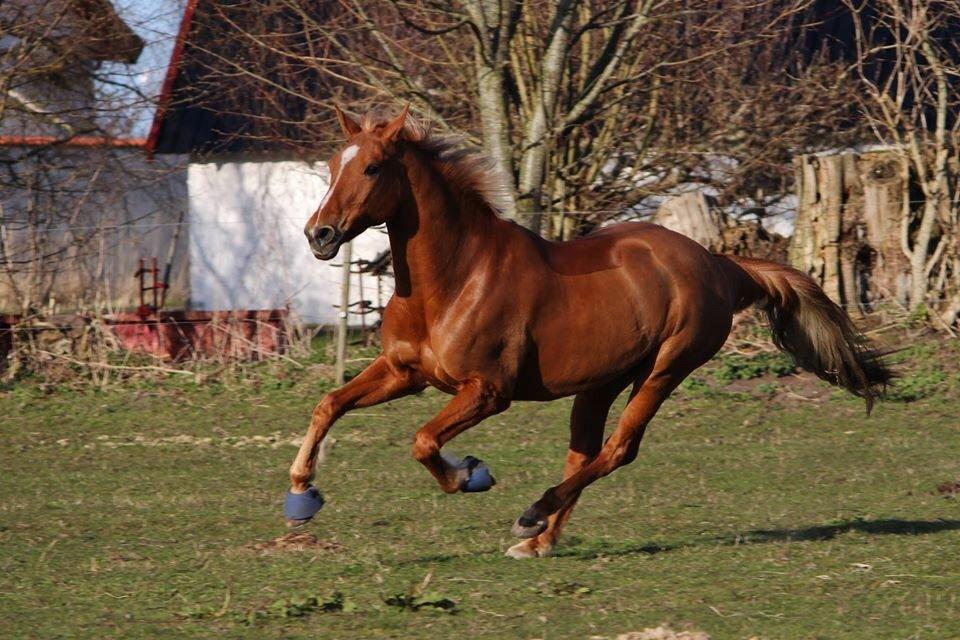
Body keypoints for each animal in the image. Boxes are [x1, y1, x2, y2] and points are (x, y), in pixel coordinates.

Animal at [286, 105, 892, 556]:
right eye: (333, 164)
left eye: (371, 168)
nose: (319, 234)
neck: (456, 279)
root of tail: (719, 264)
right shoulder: (403, 372)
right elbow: (328, 404)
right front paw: (300, 496)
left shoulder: (487, 392)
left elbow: (423, 441)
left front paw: (470, 475)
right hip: (600, 382)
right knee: (585, 453)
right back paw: (539, 537)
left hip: (664, 370)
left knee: (620, 448)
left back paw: (532, 516)